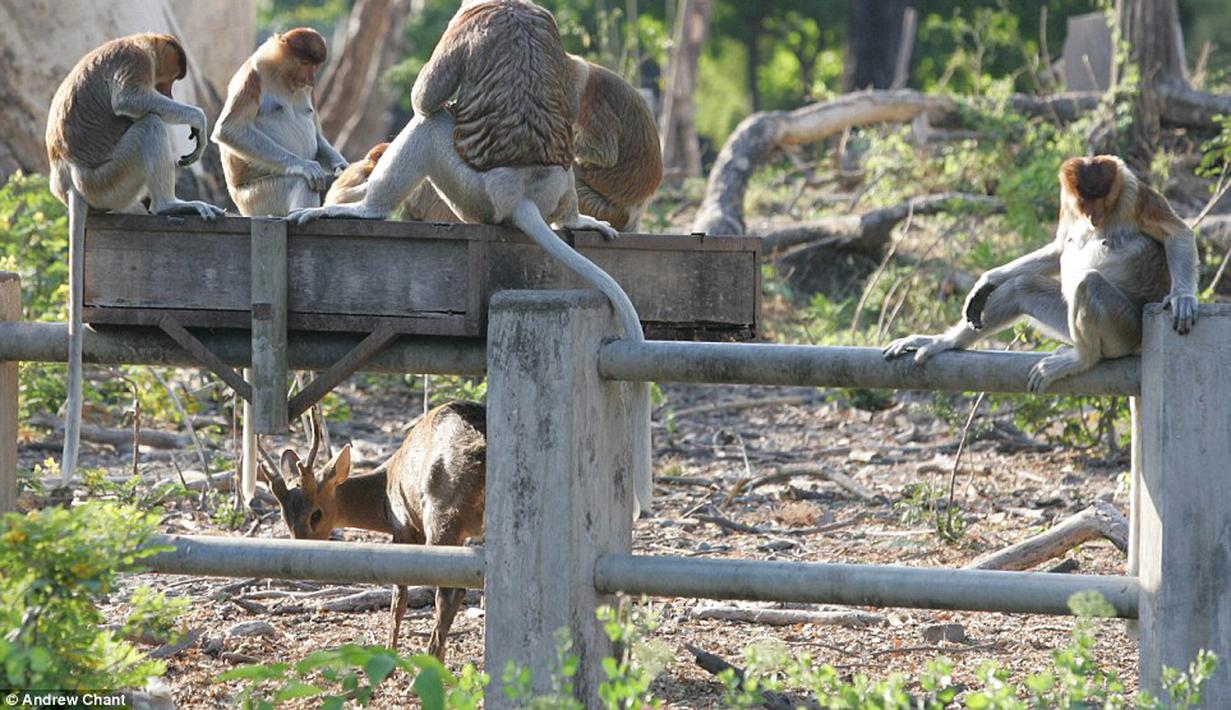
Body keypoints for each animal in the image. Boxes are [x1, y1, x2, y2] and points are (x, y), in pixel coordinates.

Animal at [46, 32, 224, 219]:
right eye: (170, 80)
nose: (169, 95)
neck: (138, 42)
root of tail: (71, 186)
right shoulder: (136, 59)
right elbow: (128, 100)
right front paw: (199, 120)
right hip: (107, 180)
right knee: (150, 125)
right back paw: (168, 206)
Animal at [214, 27, 349, 216]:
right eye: (305, 62)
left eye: (315, 66)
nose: (311, 80)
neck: (283, 76)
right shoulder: (253, 75)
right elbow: (229, 128)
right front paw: (305, 166)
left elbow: (316, 134)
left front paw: (343, 167)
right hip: (256, 197)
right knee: (301, 182)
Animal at [257, 401, 482, 654]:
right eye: (285, 517)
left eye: (316, 514)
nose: (299, 553)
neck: (385, 487)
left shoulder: (402, 525)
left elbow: (398, 600)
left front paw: (390, 653)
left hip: (440, 517)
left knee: (447, 593)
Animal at [285, 1, 654, 521]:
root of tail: (522, 192)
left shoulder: (464, 26)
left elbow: (425, 98)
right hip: (554, 183)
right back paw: (576, 218)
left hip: (470, 193)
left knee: (430, 125)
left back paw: (364, 207)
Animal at [886, 153, 1201, 393]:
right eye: (1085, 202)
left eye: (1101, 199)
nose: (1093, 216)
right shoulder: (1066, 203)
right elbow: (1059, 247)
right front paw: (987, 280)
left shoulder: (1135, 195)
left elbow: (1177, 234)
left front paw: (1182, 299)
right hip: (1069, 324)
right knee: (1022, 286)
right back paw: (942, 342)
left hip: (1125, 330)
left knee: (1088, 284)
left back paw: (1082, 358)